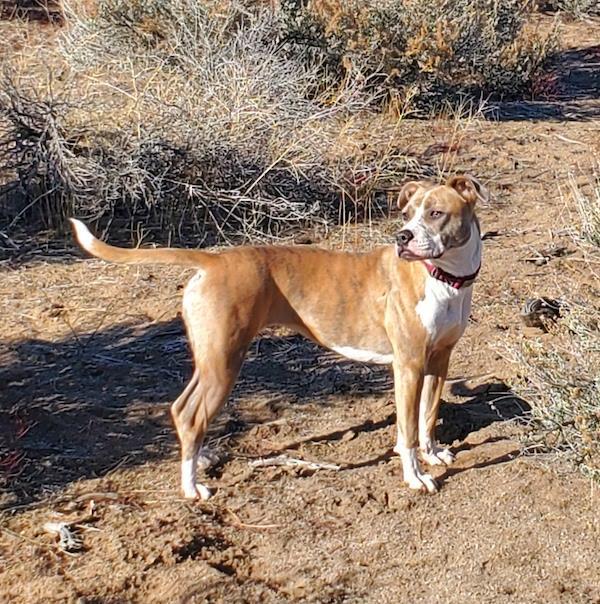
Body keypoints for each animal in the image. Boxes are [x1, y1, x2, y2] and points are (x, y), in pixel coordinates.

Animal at [69, 172, 488, 498]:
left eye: (435, 213)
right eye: (406, 214)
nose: (402, 237)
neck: (443, 277)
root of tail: (214, 260)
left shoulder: (438, 360)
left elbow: (428, 415)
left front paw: (434, 453)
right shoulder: (408, 365)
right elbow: (407, 432)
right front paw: (416, 477)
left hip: (211, 361)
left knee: (182, 408)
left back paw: (201, 458)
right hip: (224, 363)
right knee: (190, 414)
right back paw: (192, 487)